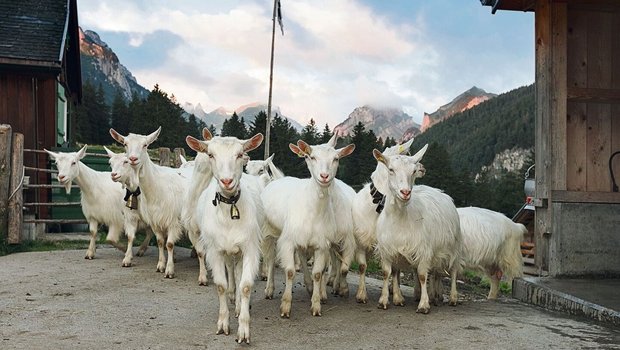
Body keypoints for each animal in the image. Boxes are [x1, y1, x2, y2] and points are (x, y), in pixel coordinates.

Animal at [109, 127, 191, 278]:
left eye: (145, 145)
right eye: (125, 144)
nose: (133, 159)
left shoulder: (173, 221)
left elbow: (169, 244)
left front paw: (169, 270)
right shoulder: (154, 220)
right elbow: (159, 242)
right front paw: (160, 265)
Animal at [183, 131, 262, 342]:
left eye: (240, 154)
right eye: (211, 154)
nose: (227, 181)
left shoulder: (249, 247)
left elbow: (245, 285)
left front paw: (243, 330)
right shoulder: (214, 250)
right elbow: (220, 285)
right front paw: (223, 324)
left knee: (238, 271)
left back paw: (238, 304)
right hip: (226, 249)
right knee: (230, 270)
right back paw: (232, 296)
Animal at [262, 137, 356, 318]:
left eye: (336, 159)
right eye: (311, 157)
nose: (324, 176)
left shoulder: (322, 244)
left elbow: (319, 273)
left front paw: (317, 303)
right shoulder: (288, 241)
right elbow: (290, 271)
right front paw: (285, 307)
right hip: (269, 231)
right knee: (270, 259)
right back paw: (269, 289)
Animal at [354, 139, 426, 304]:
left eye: (413, 169)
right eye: (391, 169)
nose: (423, 168)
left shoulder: (391, 243)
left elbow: (394, 270)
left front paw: (398, 297)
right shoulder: (361, 240)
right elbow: (362, 266)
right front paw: (361, 295)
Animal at [370, 148, 462, 314]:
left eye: (413, 171)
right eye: (391, 169)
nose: (405, 192)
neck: (401, 217)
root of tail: (438, 191)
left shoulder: (424, 249)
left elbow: (422, 275)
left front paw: (424, 305)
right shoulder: (389, 249)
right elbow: (388, 272)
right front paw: (385, 300)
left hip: (454, 247)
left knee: (452, 272)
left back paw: (451, 298)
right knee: (432, 273)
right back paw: (425, 295)